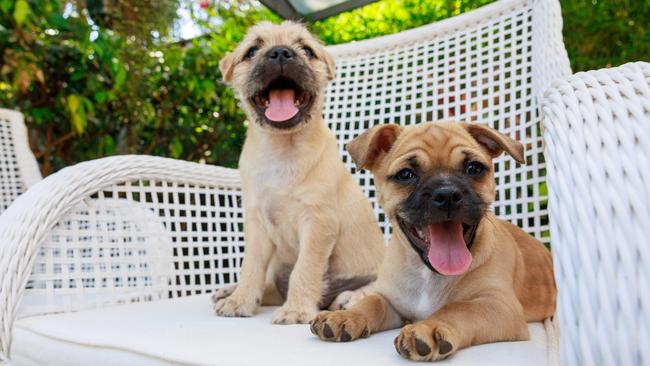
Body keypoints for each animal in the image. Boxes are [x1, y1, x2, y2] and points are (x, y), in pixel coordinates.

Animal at [210, 20, 382, 324]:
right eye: (252, 50)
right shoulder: (257, 225)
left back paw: (350, 297)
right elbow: (250, 267)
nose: (280, 52)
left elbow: (305, 269)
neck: (282, 148)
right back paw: (229, 291)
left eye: (307, 50)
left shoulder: (317, 223)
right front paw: (240, 300)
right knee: (267, 285)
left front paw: (297, 309)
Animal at [312, 122, 556, 360]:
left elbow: (458, 309)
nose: (447, 194)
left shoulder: (498, 305)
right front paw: (346, 315)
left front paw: (430, 327)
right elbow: (371, 303)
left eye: (474, 168)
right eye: (405, 174)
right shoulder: (390, 300)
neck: (427, 273)